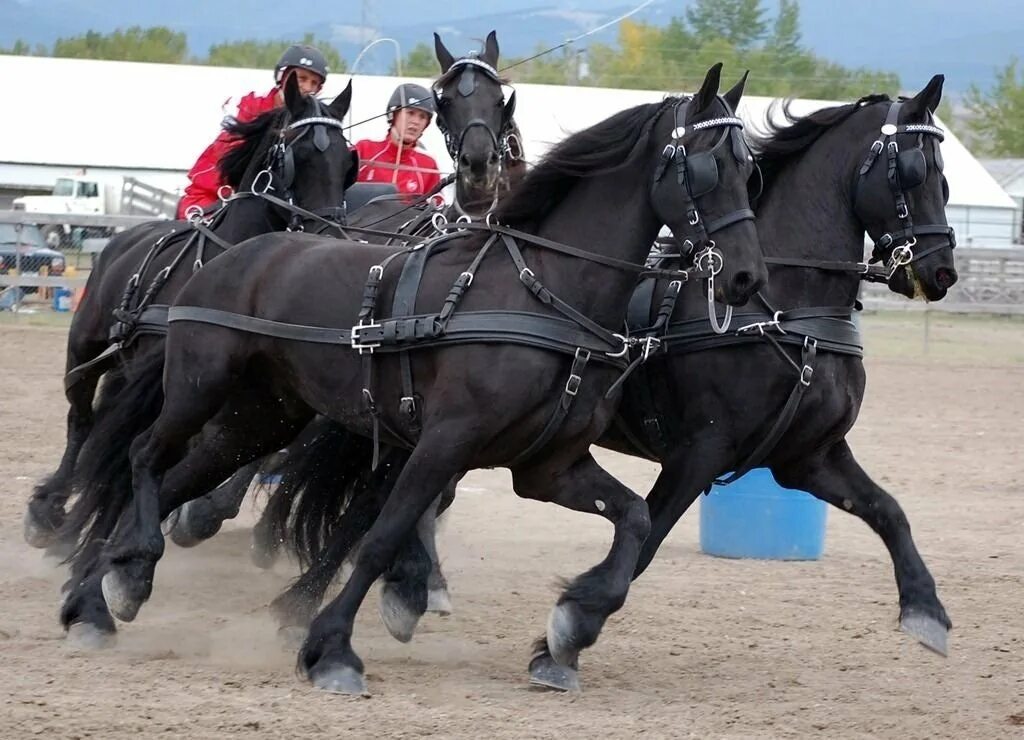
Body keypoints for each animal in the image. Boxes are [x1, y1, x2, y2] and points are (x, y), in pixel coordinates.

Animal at [23, 75, 356, 552]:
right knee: (81, 419)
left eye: (348, 161)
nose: (329, 238)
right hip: (85, 347)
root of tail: (126, 236)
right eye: (300, 155)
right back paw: (48, 508)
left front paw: (185, 514)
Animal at [61, 65, 770, 695]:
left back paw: (97, 592)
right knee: (142, 456)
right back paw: (120, 577)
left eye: (751, 170)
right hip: (200, 385)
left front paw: (570, 629)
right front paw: (330, 650)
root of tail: (235, 254)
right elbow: (381, 535)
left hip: (260, 417)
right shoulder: (443, 443)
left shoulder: (547, 467)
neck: (545, 290)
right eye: (707, 167)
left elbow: (636, 520)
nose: (746, 277)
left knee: (175, 479)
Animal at [241, 75, 958, 695]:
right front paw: (563, 636)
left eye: (945, 175)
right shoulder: (700, 452)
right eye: (912, 171)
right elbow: (645, 543)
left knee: (381, 499)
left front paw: (926, 610)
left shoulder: (808, 458)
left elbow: (889, 511)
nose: (941, 269)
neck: (782, 305)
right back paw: (323, 600)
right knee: (373, 500)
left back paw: (369, 594)